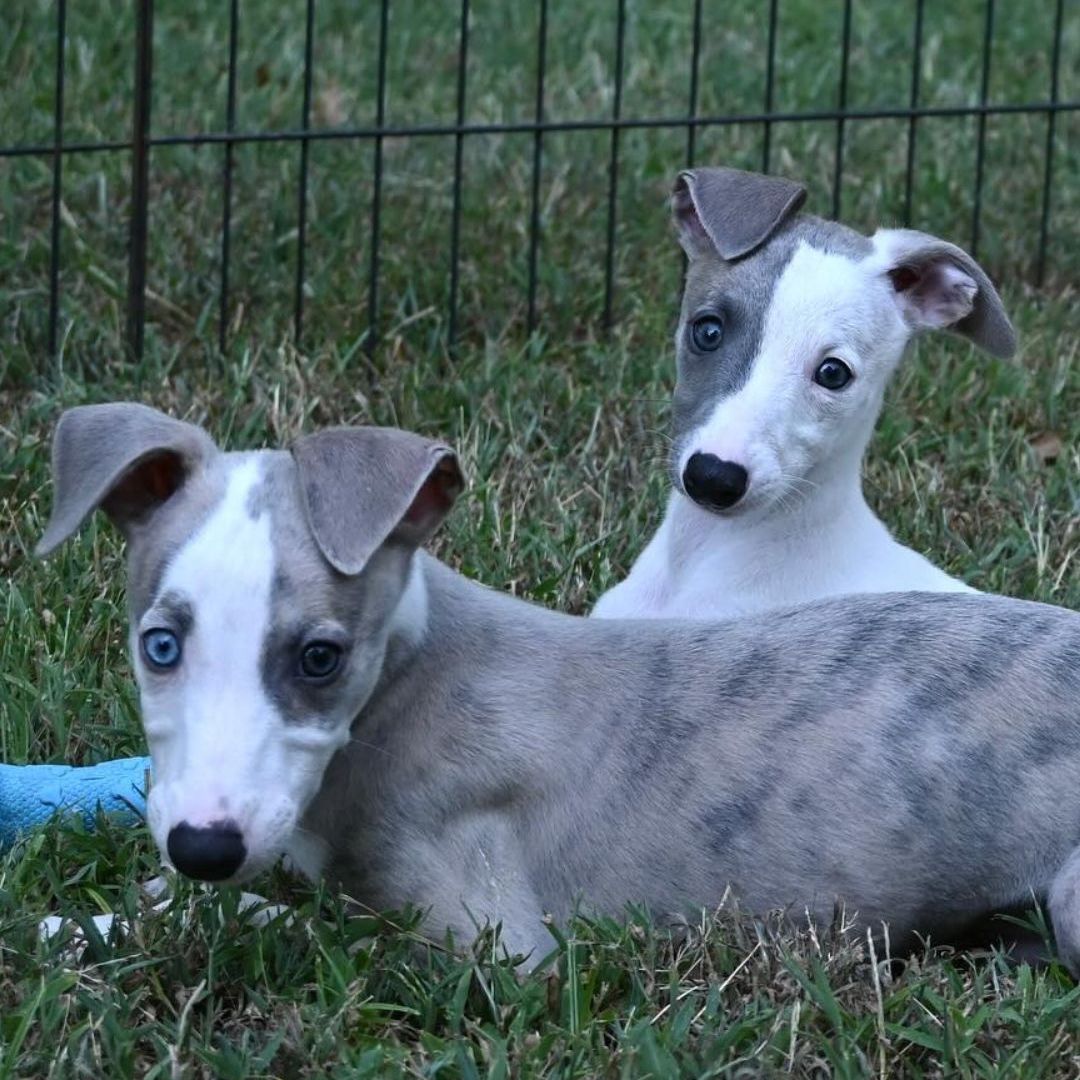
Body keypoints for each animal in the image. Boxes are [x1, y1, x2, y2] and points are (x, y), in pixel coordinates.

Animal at [38, 406, 1080, 972]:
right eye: (159, 645)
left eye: (320, 658)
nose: (203, 847)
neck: (407, 687)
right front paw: (90, 917)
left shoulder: (490, 944)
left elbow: (317, 932)